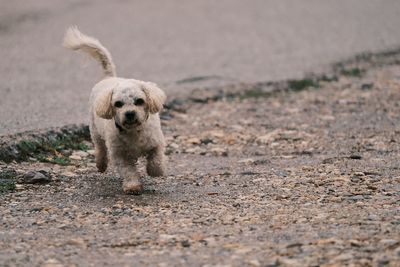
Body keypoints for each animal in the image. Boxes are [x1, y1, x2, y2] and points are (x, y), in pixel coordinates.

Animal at [63, 26, 166, 195]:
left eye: (140, 101)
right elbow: (128, 171)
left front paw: (155, 171)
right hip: (95, 131)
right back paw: (101, 164)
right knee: (100, 148)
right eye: (118, 104)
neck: (133, 132)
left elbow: (156, 160)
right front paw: (132, 186)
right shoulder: (120, 155)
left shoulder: (156, 143)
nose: (129, 113)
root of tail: (108, 78)